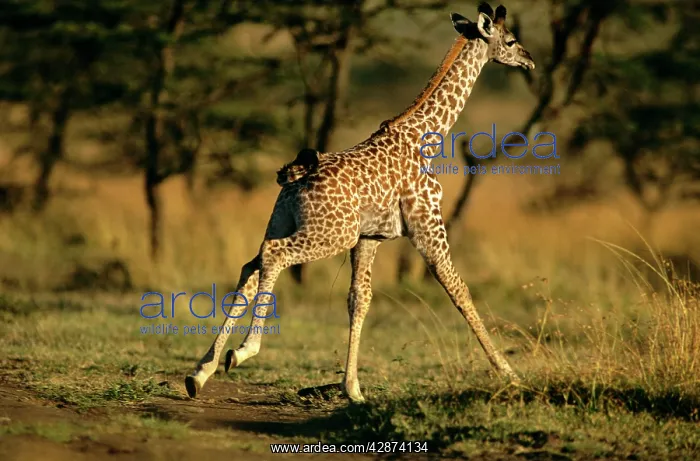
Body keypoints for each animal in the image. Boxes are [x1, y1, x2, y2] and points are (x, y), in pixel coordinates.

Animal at [185, 2, 535, 402]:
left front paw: (352, 388)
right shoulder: (428, 227)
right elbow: (459, 291)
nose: (529, 60)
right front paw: (510, 375)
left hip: (285, 221)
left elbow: (359, 298)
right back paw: (243, 350)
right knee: (275, 255)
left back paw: (200, 372)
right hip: (331, 233)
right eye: (511, 39)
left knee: (251, 266)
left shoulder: (370, 237)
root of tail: (296, 178)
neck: (424, 139)